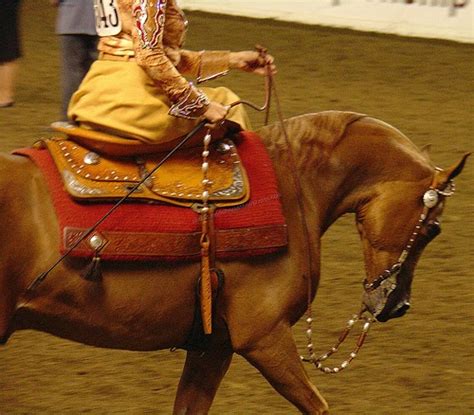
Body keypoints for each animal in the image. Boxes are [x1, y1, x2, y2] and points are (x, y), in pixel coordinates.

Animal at [0, 112, 466, 414]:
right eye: (433, 229)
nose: (397, 304)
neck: (294, 186)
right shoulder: (264, 338)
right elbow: (317, 406)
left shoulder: (215, 346)